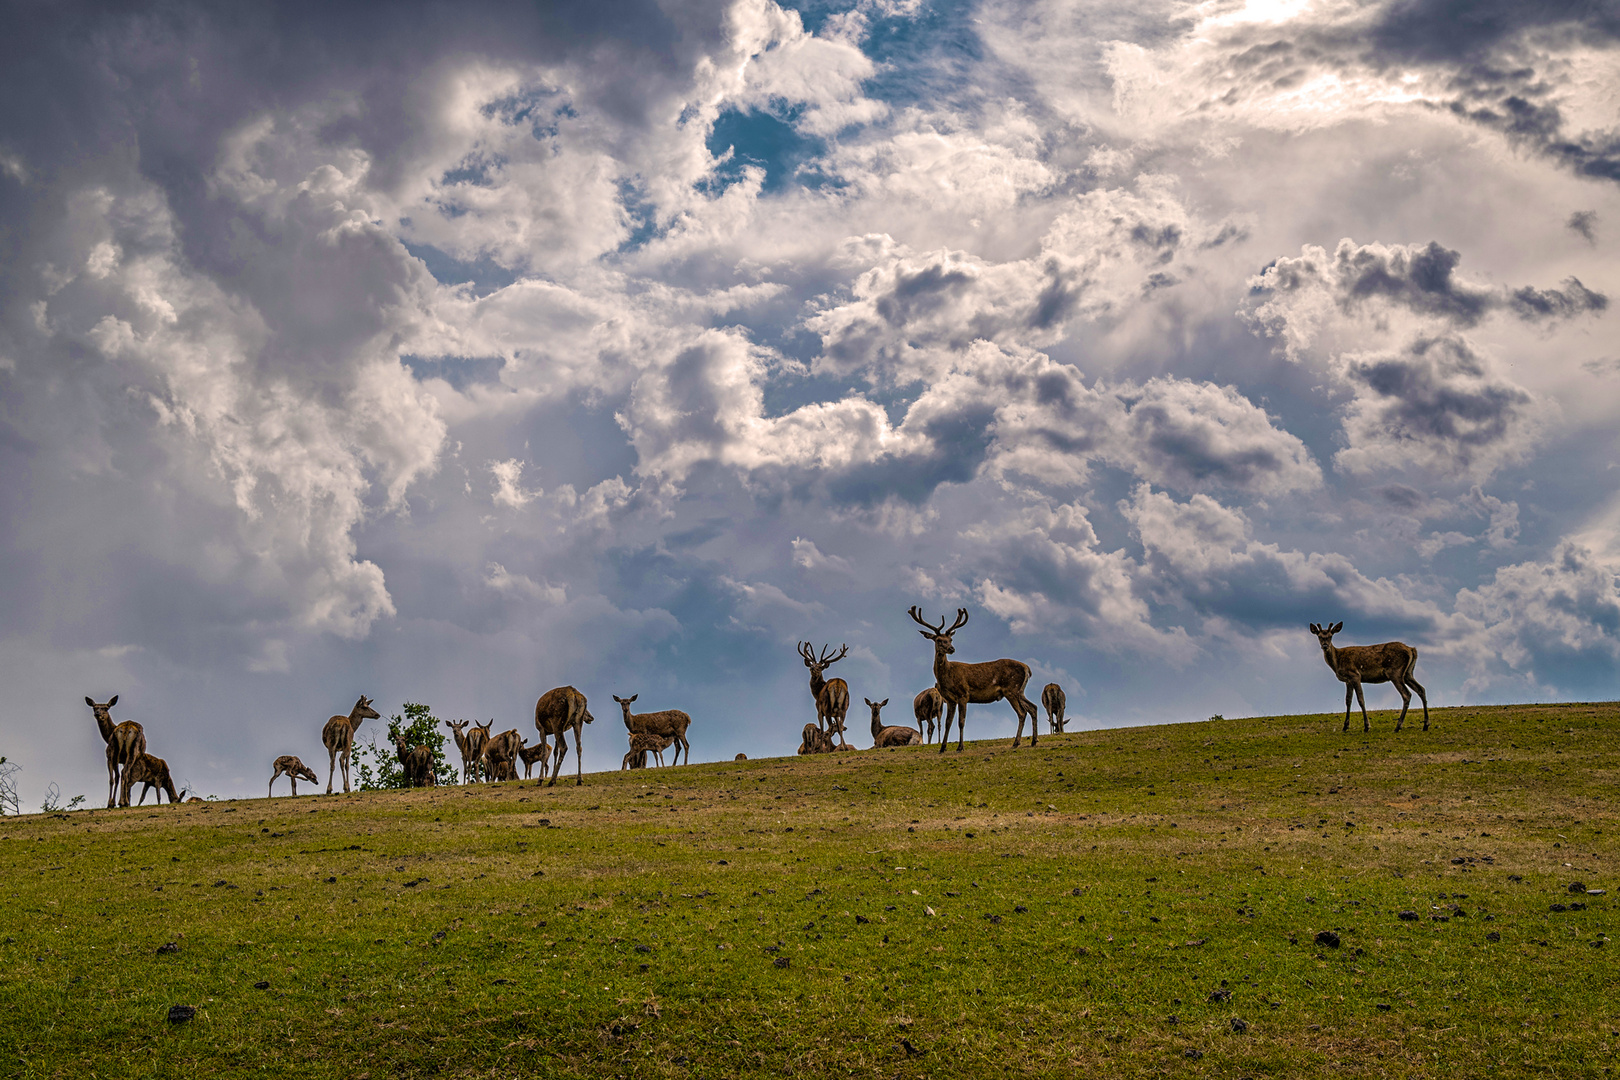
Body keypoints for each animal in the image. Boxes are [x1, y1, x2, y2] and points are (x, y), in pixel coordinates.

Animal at [907, 608, 1043, 751]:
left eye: (950, 639)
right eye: (939, 640)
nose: (951, 648)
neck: (947, 676)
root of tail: (1027, 668)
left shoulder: (963, 694)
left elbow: (961, 722)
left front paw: (960, 747)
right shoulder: (950, 699)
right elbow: (948, 723)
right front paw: (942, 748)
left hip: (1011, 689)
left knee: (1022, 713)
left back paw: (1016, 743)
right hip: (1019, 691)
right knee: (1032, 707)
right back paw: (1033, 741)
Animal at [1302, 625, 1432, 735]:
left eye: (1330, 636)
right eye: (1319, 636)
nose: (1325, 646)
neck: (1337, 662)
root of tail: (1412, 650)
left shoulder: (1355, 675)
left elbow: (1361, 700)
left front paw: (1366, 726)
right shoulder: (1348, 680)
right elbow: (1348, 700)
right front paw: (1345, 727)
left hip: (1395, 672)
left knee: (1407, 694)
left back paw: (1397, 727)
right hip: (1408, 673)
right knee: (1421, 689)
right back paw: (1425, 725)